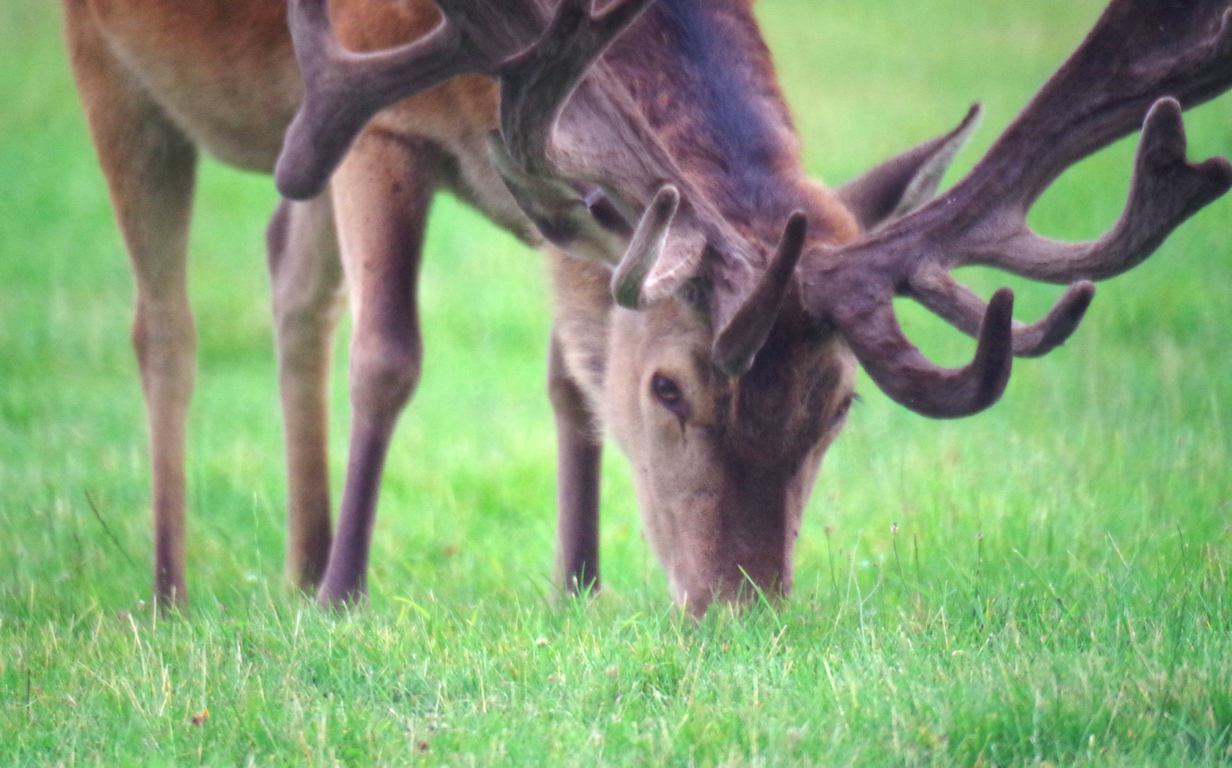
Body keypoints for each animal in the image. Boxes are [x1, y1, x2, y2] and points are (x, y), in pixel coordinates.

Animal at [65, 0, 1232, 613]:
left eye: (839, 409)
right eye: (670, 391)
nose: (745, 605)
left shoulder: (561, 211)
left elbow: (570, 380)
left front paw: (575, 585)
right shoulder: (378, 127)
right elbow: (389, 355)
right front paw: (349, 594)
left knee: (287, 281)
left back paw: (298, 561)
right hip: (112, 69)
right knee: (164, 325)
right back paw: (178, 588)